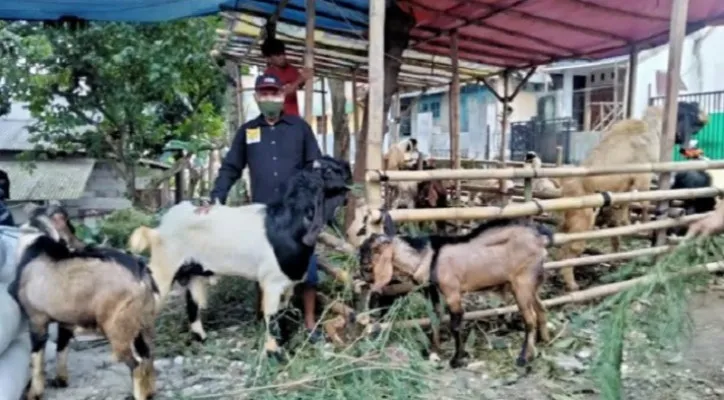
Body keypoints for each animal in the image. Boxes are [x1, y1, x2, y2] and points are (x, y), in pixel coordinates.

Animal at [9, 206, 158, 400]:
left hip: (117, 329)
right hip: (143, 325)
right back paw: (150, 391)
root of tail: (141, 273)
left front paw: (34, 393)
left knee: (137, 364)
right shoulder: (65, 322)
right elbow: (61, 350)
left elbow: (36, 360)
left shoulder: (36, 320)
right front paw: (61, 381)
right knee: (149, 357)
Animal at [129, 155, 352, 360]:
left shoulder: (288, 284)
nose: (348, 172)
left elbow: (282, 315)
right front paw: (275, 354)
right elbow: (271, 317)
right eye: (329, 170)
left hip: (194, 274)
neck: (287, 224)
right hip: (163, 268)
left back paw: (201, 339)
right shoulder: (271, 282)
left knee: (193, 305)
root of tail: (158, 229)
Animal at [360, 219, 552, 368]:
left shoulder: (452, 291)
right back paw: (542, 342)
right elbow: (435, 319)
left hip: (522, 283)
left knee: (530, 319)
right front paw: (434, 351)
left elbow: (455, 323)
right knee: (541, 309)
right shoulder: (432, 291)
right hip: (531, 284)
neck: (429, 256)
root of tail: (541, 238)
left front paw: (456, 359)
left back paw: (523, 358)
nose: (361, 266)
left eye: (374, 250)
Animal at [556, 103, 704, 290]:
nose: (704, 119)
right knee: (568, 251)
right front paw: (645, 225)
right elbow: (645, 201)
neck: (652, 127)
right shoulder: (643, 176)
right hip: (582, 222)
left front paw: (627, 223)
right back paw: (573, 285)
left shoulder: (626, 186)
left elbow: (624, 208)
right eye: (688, 112)